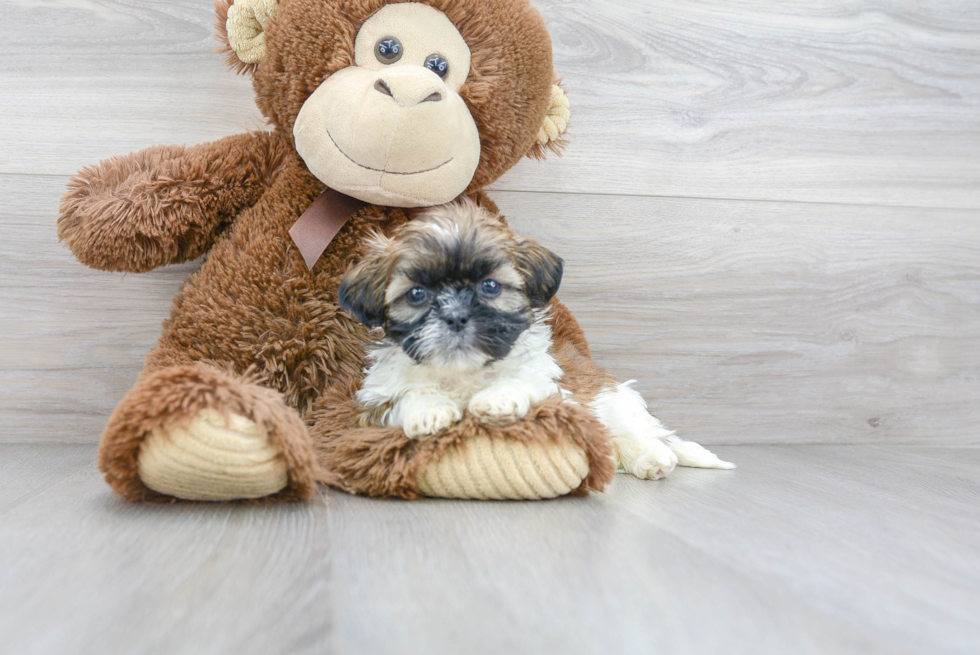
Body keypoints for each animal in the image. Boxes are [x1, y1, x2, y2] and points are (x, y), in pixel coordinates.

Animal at [340, 200, 732, 482]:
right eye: (417, 294)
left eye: (490, 286)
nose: (456, 316)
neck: (463, 372)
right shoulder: (372, 405)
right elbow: (404, 396)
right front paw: (428, 410)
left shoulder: (553, 388)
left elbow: (523, 380)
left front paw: (497, 399)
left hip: (613, 402)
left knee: (626, 432)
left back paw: (652, 457)